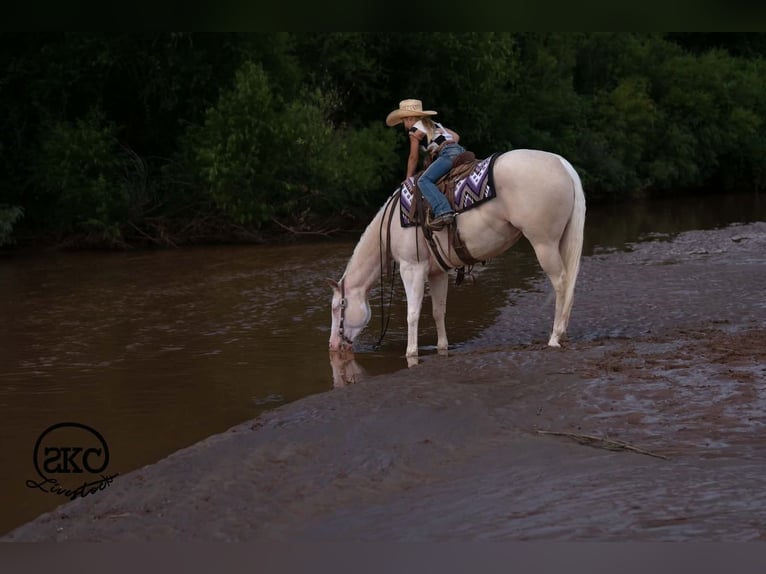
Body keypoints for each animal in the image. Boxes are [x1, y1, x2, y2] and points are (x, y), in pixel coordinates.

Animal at [327, 148, 586, 359]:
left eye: (337, 307)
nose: (333, 346)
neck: (392, 225)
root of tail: (562, 164)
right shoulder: (437, 272)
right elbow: (438, 312)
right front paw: (442, 347)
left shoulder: (412, 267)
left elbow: (413, 313)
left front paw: (410, 352)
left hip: (544, 244)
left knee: (562, 283)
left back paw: (555, 337)